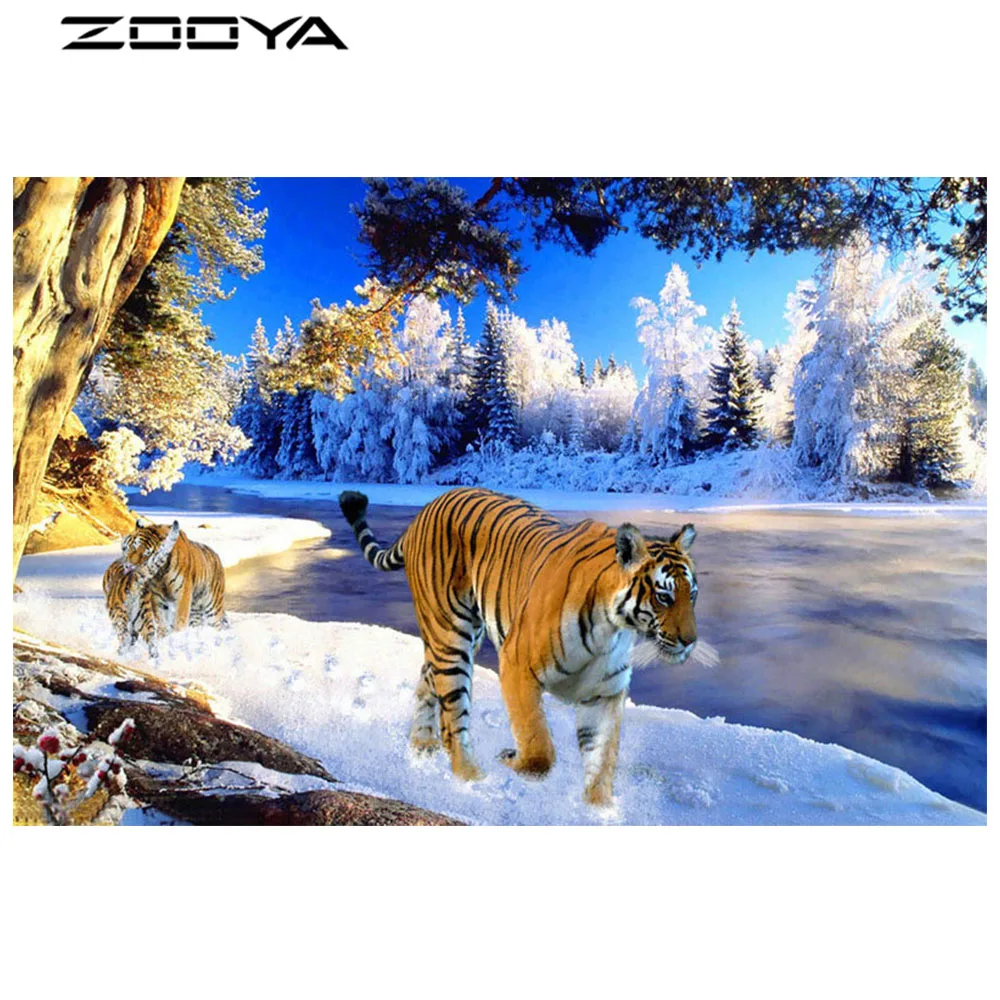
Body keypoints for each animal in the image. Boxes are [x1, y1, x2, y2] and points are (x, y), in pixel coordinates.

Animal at [103, 520, 181, 655]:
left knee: (124, 639)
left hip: (119, 616)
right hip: (144, 618)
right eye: (134, 547)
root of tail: (133, 579)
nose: (130, 565)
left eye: (146, 553)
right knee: (152, 642)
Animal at [339, 486, 698, 806]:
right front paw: (509, 758)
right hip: (451, 636)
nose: (690, 641)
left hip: (460, 639)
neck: (612, 627)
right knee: (453, 718)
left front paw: (600, 810)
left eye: (692, 595)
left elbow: (602, 763)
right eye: (664, 597)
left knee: (427, 680)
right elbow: (539, 749)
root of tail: (426, 508)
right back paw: (472, 780)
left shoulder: (605, 693)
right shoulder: (516, 665)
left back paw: (421, 744)